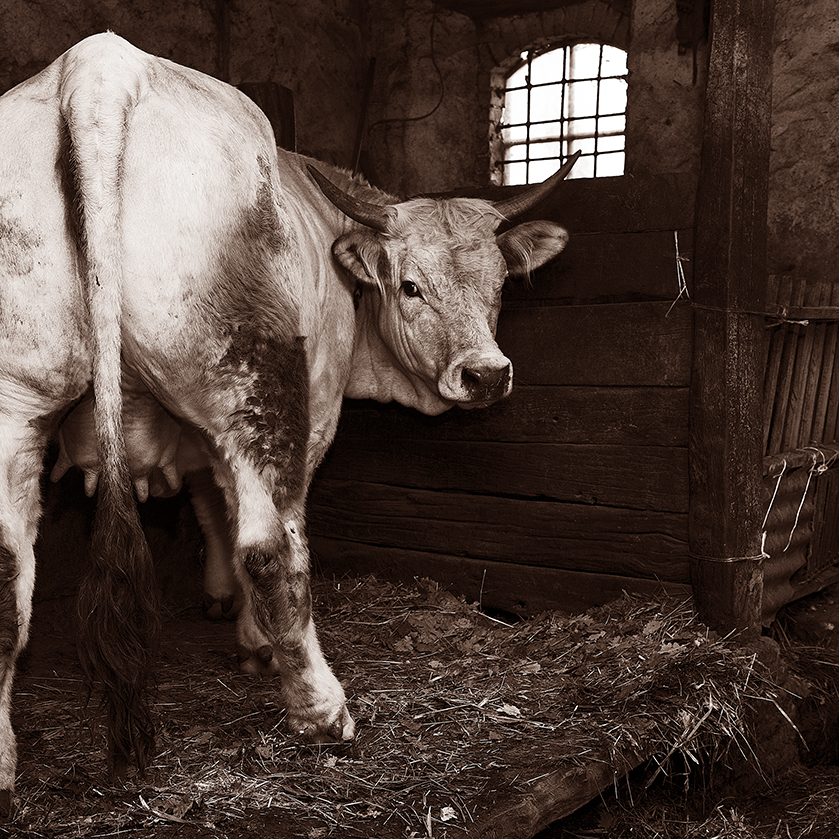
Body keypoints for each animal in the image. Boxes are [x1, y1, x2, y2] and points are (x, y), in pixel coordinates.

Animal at [0, 32, 576, 812]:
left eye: (497, 287)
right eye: (409, 285)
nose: (486, 374)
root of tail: (99, 69)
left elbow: (210, 506)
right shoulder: (307, 414)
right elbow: (259, 527)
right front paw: (257, 642)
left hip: (17, 398)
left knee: (7, 572)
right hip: (252, 381)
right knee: (272, 549)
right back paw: (322, 708)